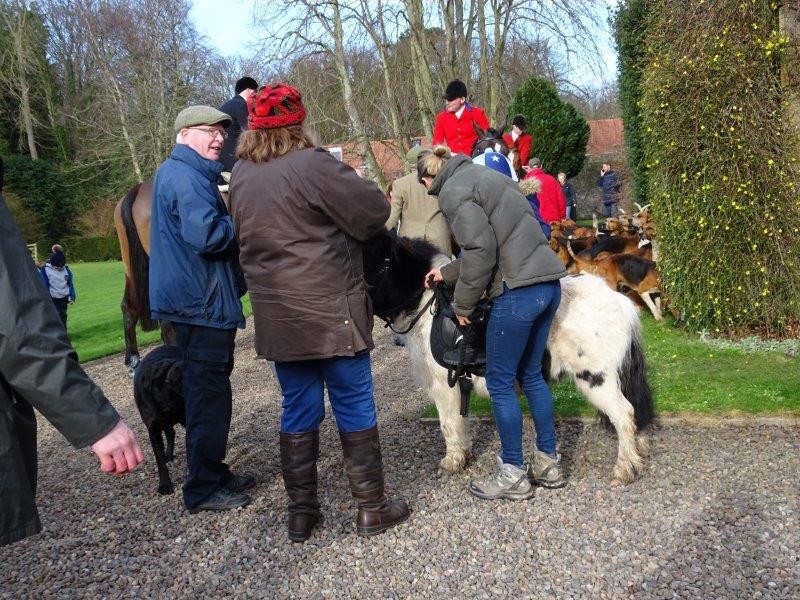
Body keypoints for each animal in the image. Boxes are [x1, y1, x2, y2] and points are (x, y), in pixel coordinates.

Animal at [363, 230, 654, 485]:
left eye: (378, 268)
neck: (428, 310)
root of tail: (620, 301)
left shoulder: (444, 386)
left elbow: (448, 424)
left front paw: (452, 462)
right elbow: (460, 422)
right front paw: (463, 455)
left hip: (596, 379)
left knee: (624, 414)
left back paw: (624, 470)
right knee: (633, 415)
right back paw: (638, 455)